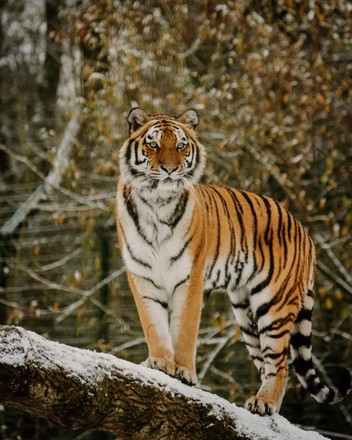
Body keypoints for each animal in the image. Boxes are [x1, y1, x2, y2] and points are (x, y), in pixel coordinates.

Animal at [116, 107, 352, 416]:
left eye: (180, 145)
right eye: (153, 144)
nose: (169, 170)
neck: (157, 203)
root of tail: (305, 232)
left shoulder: (190, 277)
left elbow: (185, 329)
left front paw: (184, 372)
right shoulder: (142, 276)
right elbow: (154, 324)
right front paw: (160, 362)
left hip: (274, 304)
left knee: (280, 364)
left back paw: (264, 403)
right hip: (245, 311)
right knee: (267, 363)